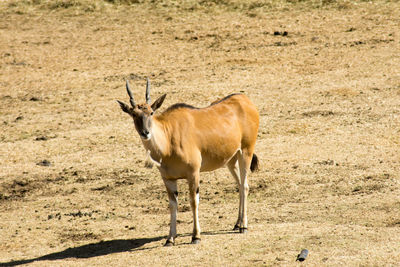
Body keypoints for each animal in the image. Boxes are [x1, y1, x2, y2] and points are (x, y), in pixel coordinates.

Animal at [117, 79, 260, 247]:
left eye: (151, 112)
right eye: (134, 114)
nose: (145, 133)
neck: (169, 137)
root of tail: (245, 100)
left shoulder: (193, 173)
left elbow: (193, 201)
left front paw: (196, 236)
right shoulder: (168, 179)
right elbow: (173, 205)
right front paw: (170, 238)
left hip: (246, 152)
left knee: (244, 186)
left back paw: (244, 226)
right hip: (231, 160)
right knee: (239, 184)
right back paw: (237, 223)